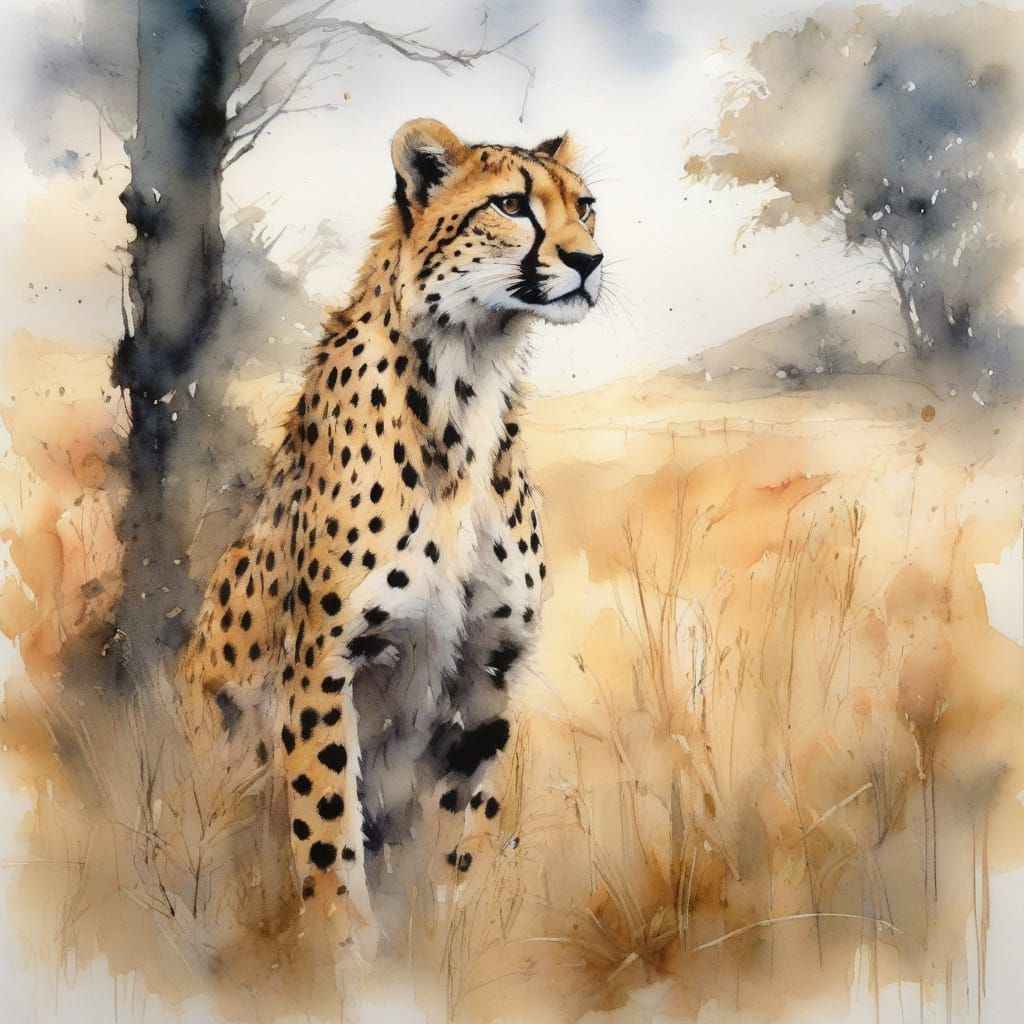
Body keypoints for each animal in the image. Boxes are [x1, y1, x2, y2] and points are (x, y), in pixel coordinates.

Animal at [179, 118, 602, 960]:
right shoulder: (324, 662)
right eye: (512, 205)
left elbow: (460, 825)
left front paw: (446, 937)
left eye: (586, 206)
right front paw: (346, 945)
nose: (588, 260)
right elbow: (327, 817)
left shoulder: (489, 670)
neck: (471, 377)